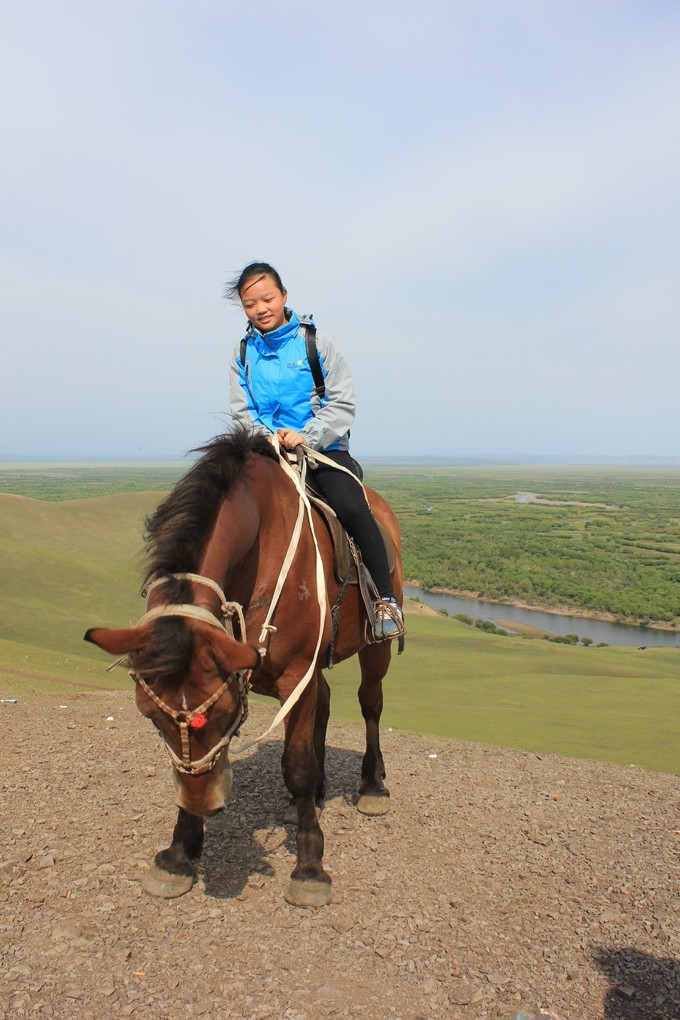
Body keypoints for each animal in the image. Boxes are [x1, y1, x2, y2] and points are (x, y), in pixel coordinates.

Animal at [85, 426, 403, 905]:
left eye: (222, 712)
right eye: (149, 714)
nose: (204, 804)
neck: (259, 545)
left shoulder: (295, 673)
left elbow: (297, 765)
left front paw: (310, 868)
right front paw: (178, 854)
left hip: (374, 648)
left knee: (370, 704)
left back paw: (372, 786)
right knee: (325, 704)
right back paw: (314, 797)